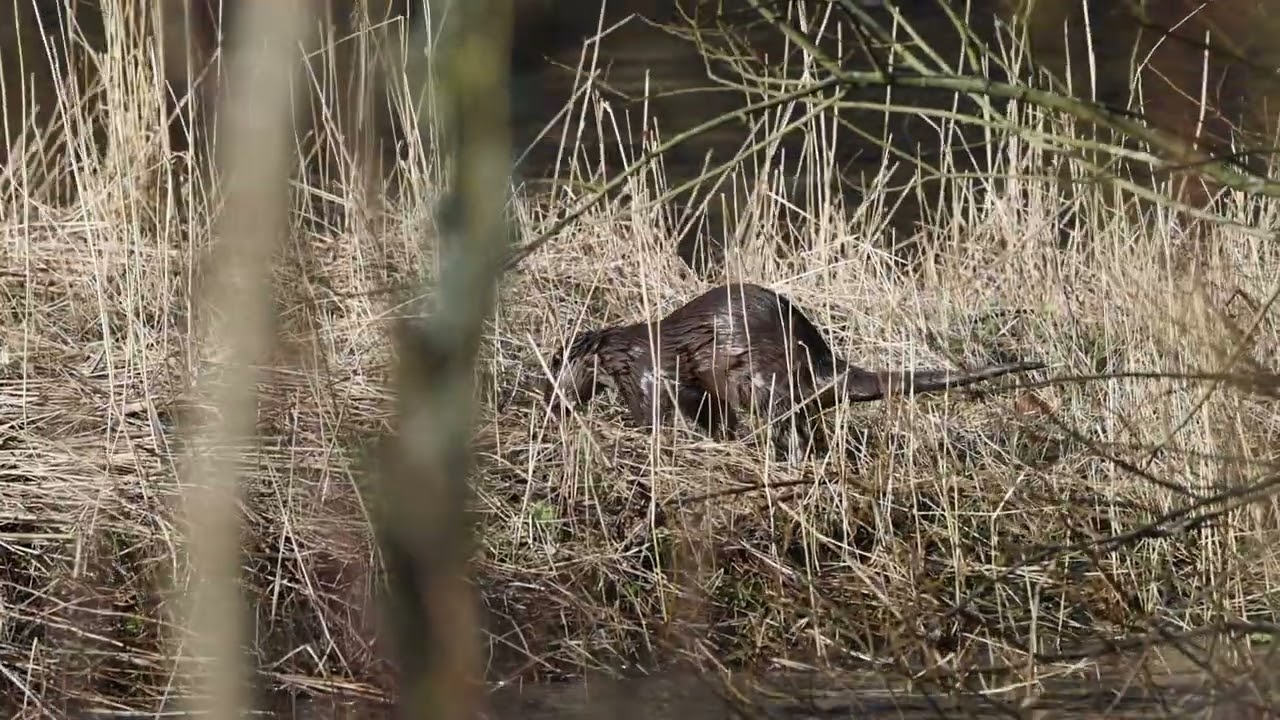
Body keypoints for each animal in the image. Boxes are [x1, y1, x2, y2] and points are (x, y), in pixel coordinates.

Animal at [540, 282, 1044, 460]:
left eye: (552, 376)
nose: (549, 407)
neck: (623, 354)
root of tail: (820, 362)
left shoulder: (649, 376)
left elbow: (660, 416)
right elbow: (710, 415)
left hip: (766, 382)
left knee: (792, 426)